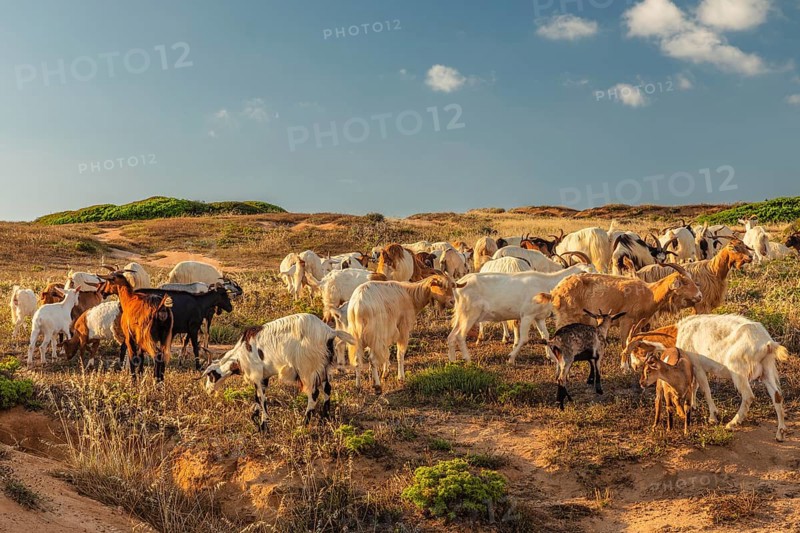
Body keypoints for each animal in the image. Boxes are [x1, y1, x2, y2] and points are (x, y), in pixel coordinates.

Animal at [202, 313, 356, 430]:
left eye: (210, 375)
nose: (208, 390)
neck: (241, 353)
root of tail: (330, 332)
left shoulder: (256, 374)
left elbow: (262, 398)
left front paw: (263, 425)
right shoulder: (263, 377)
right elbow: (257, 396)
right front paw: (255, 417)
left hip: (308, 368)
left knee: (314, 394)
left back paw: (304, 423)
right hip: (323, 367)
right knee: (327, 388)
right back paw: (325, 418)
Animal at [448, 264, 595, 364]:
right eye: (590, 272)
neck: (546, 283)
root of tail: (458, 284)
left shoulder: (538, 318)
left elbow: (546, 336)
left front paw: (553, 358)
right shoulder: (527, 316)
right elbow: (524, 339)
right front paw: (510, 358)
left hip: (462, 315)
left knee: (451, 336)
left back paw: (453, 361)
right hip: (470, 315)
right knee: (460, 336)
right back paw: (468, 360)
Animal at [535, 263, 702, 370]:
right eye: (684, 282)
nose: (700, 296)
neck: (649, 293)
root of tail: (555, 291)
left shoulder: (639, 323)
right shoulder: (626, 321)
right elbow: (624, 342)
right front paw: (625, 367)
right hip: (566, 316)